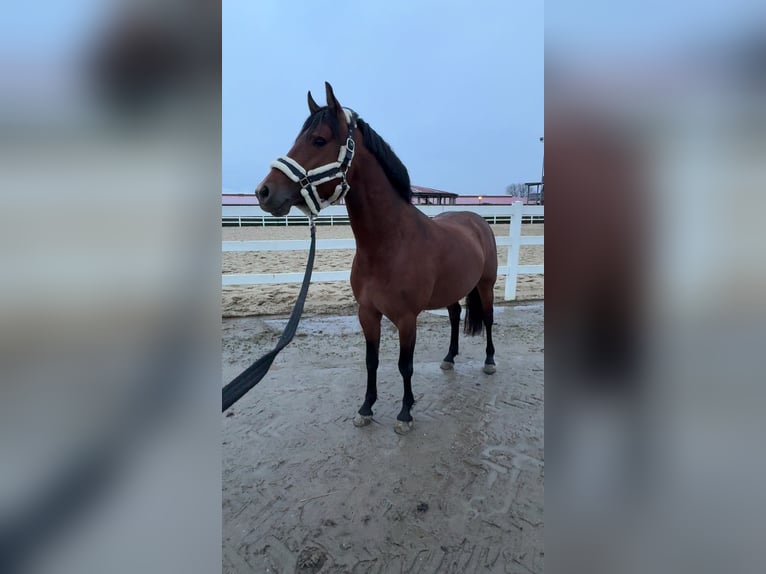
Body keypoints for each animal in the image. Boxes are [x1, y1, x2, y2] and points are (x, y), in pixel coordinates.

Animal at [255, 82, 498, 434]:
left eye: (318, 140)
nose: (264, 192)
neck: (388, 246)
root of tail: (476, 219)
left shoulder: (407, 319)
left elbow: (405, 365)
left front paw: (405, 413)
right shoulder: (367, 314)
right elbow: (372, 361)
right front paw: (366, 408)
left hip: (486, 285)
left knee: (489, 320)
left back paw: (490, 362)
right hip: (453, 289)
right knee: (455, 316)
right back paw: (449, 358)